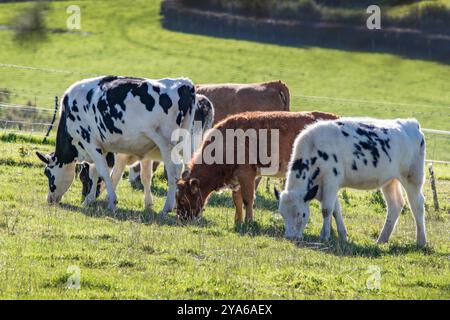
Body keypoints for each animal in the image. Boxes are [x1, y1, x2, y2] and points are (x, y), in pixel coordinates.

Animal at [35, 75, 197, 214]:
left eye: (48, 173)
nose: (49, 199)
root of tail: (184, 83)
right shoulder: (103, 147)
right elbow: (98, 173)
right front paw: (89, 200)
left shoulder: (90, 142)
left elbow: (104, 172)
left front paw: (111, 201)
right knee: (184, 170)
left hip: (166, 144)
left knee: (174, 171)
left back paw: (166, 207)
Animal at [176, 111, 338, 221]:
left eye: (183, 199)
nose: (180, 217)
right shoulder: (238, 178)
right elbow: (237, 199)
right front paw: (238, 220)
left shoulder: (247, 174)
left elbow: (248, 198)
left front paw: (249, 221)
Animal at [276, 117, 428, 248]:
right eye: (282, 213)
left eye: (300, 214)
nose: (290, 237)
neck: (313, 147)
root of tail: (411, 123)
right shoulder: (326, 187)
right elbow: (336, 210)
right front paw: (343, 235)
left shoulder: (331, 180)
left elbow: (326, 210)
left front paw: (324, 235)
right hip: (389, 181)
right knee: (395, 205)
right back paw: (382, 239)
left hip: (412, 177)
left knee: (417, 205)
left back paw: (421, 241)